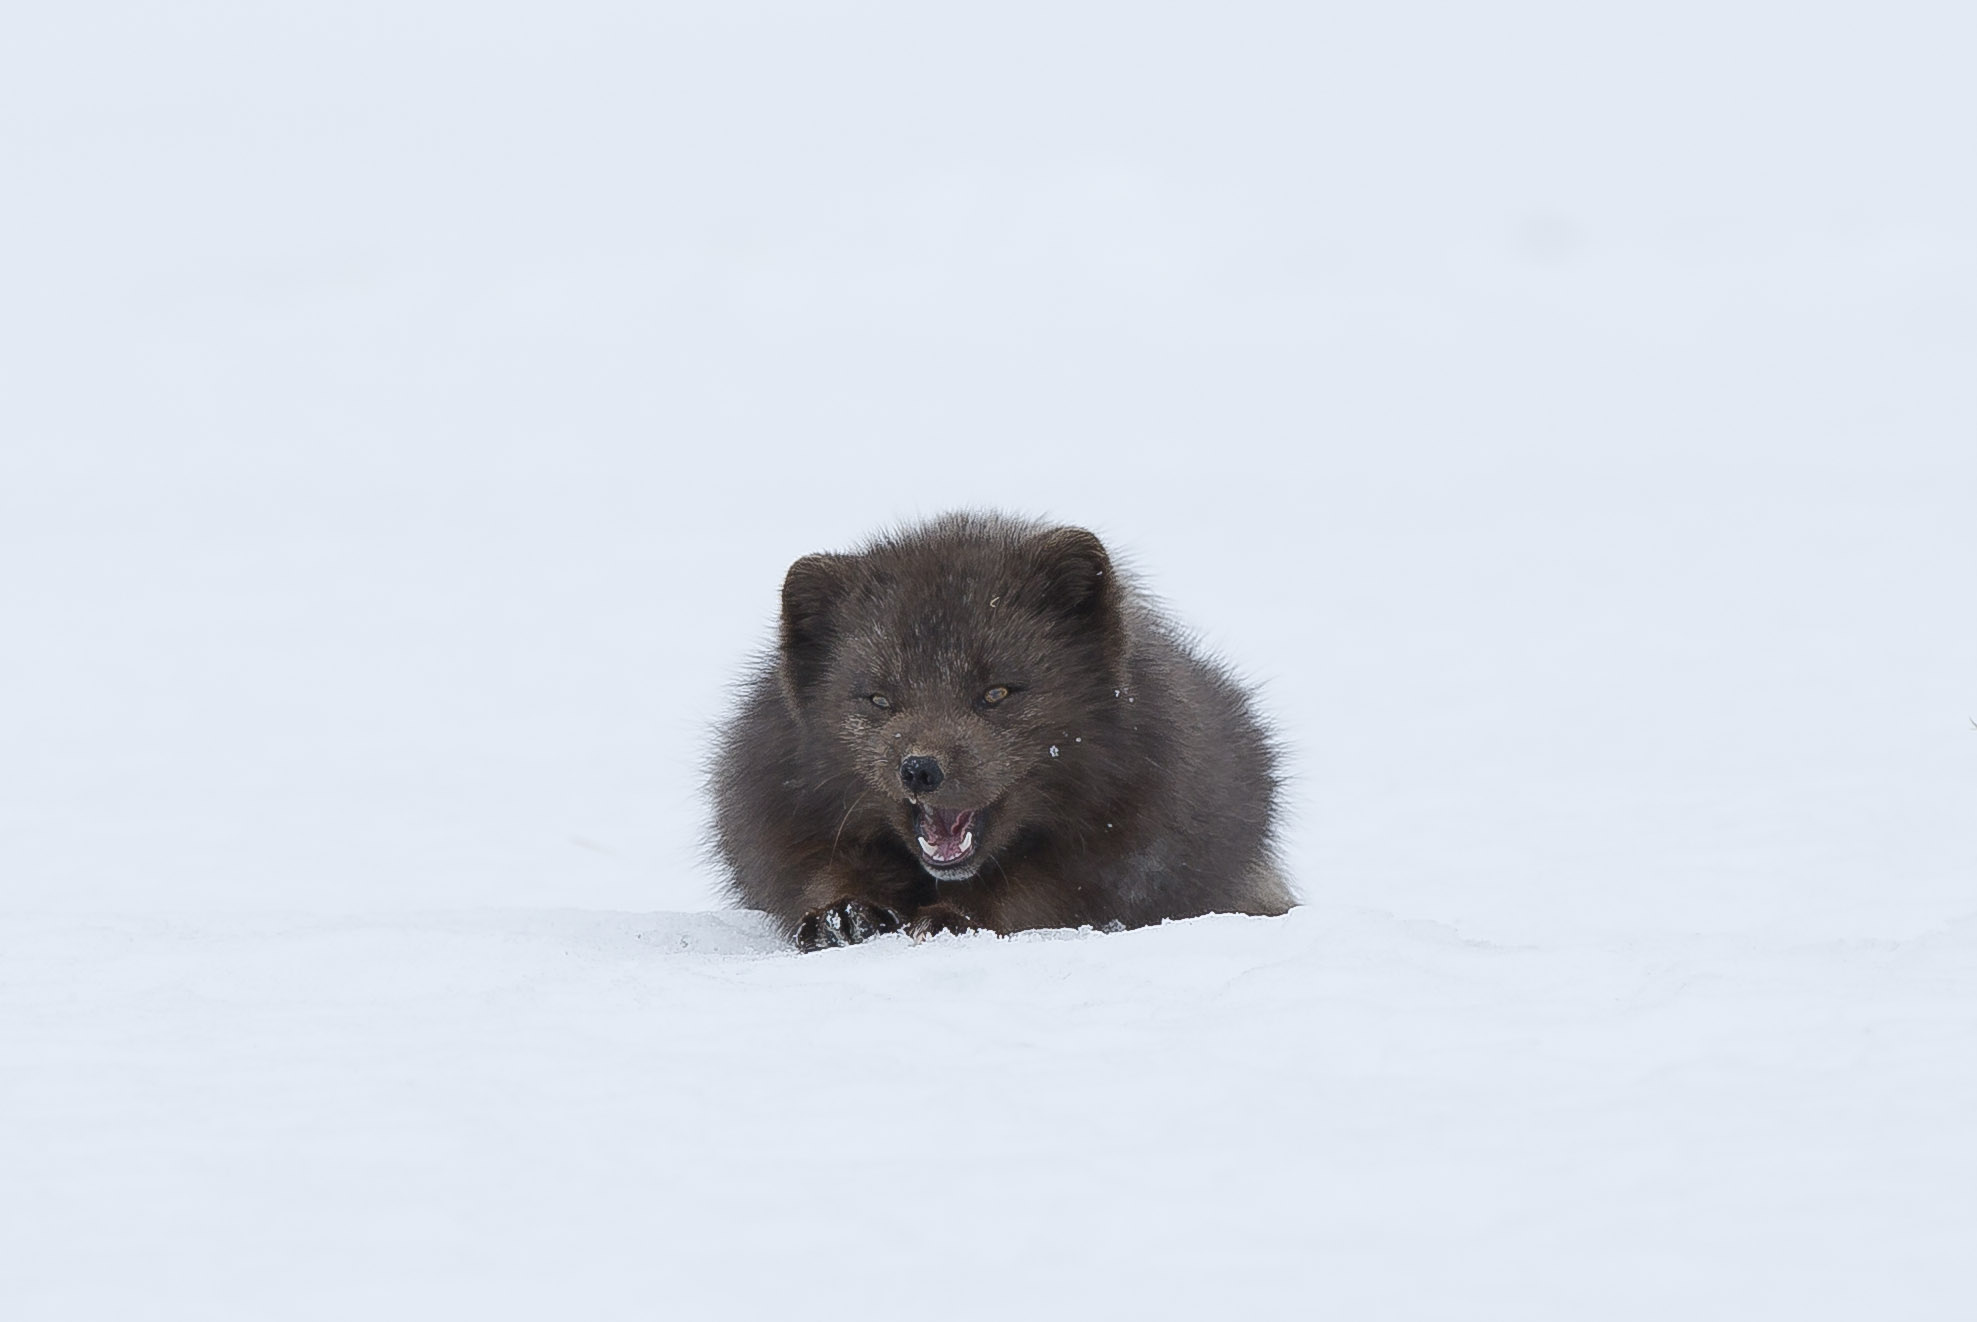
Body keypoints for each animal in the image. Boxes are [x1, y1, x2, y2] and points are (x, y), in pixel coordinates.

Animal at [709, 512, 1293, 950]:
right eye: (879, 699)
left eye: (996, 693)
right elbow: (820, 869)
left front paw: (954, 916)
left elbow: (1040, 893)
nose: (920, 769)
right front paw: (845, 909)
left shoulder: (1135, 846)